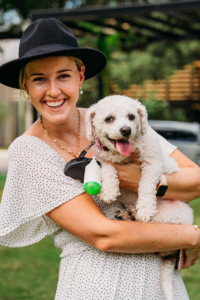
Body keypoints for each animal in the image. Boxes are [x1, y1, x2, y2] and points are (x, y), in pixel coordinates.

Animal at [85, 95, 193, 300]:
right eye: (109, 119)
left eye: (131, 116)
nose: (126, 130)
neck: (122, 156)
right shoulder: (104, 160)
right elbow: (108, 171)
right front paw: (109, 191)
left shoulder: (153, 163)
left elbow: (146, 185)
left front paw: (145, 209)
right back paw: (125, 214)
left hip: (170, 217)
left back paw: (135, 213)